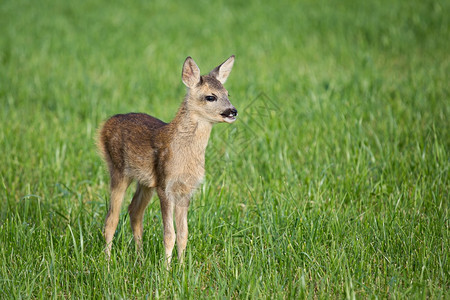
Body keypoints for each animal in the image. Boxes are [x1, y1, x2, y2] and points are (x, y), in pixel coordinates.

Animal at [96, 54, 237, 264]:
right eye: (211, 96)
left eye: (227, 93)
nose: (233, 111)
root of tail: (106, 124)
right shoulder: (165, 186)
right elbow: (169, 234)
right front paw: (166, 268)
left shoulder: (186, 190)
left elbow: (184, 234)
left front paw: (182, 266)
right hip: (118, 169)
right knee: (111, 219)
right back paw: (107, 261)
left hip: (145, 182)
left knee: (135, 212)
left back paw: (140, 257)